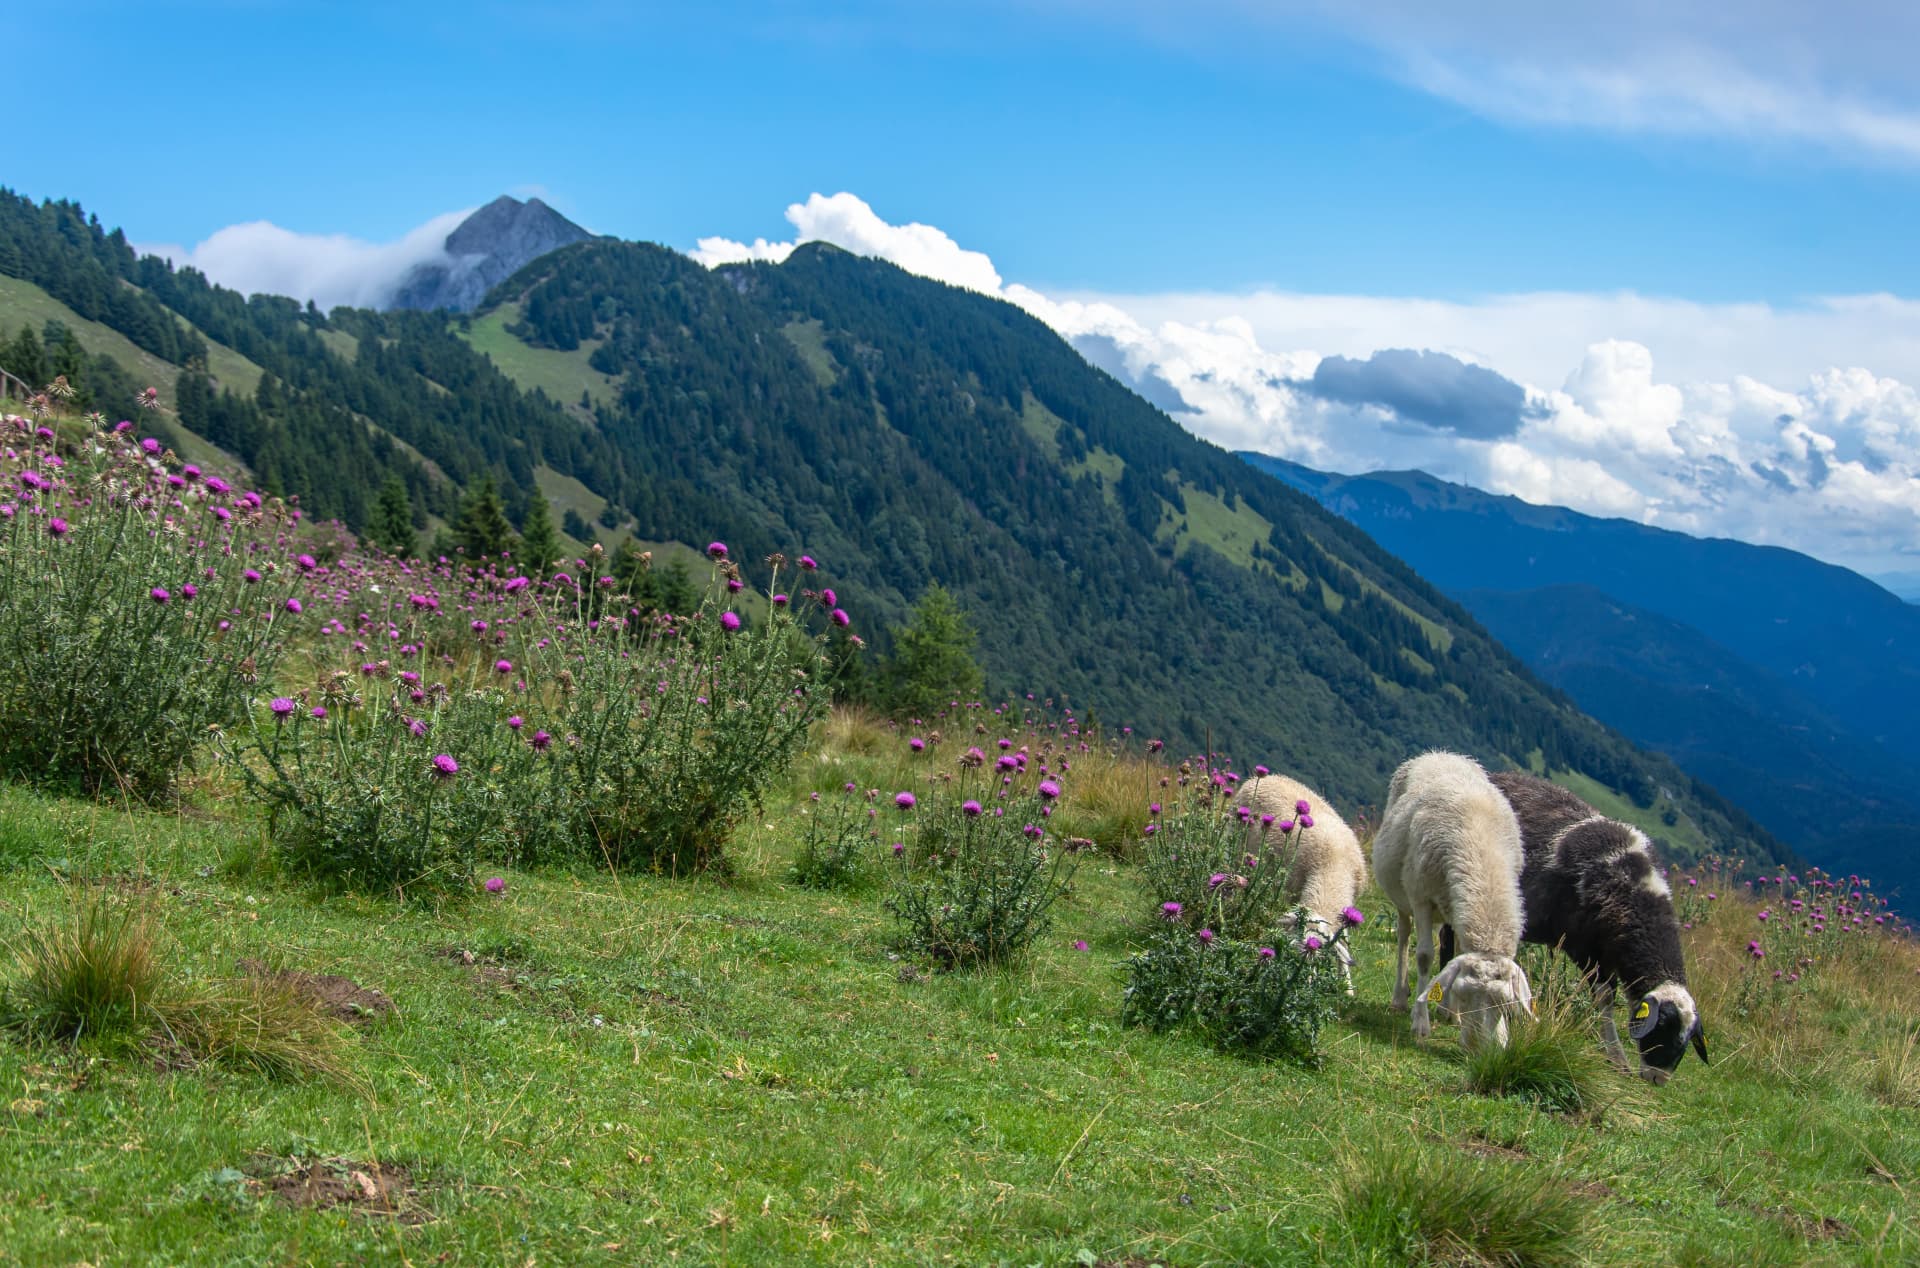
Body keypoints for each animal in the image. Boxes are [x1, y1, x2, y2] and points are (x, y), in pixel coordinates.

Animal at [1235, 773, 1369, 991]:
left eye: (1318, 957)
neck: (1331, 866)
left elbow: (1343, 942)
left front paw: (1347, 987)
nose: (1297, 985)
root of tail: (1265, 776)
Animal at [1371, 751, 1534, 1049]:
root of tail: (1440, 753)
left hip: (1448, 906)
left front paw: (1450, 1013)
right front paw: (1420, 1022)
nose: (1480, 1048)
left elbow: (1455, 957)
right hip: (1405, 897)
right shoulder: (1421, 899)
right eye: (1464, 995)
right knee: (1404, 936)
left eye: (1505, 1004)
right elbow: (1425, 956)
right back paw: (1400, 997)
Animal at [1478, 771, 1708, 1083]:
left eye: (1685, 1044)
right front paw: (1616, 1056)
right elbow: (1605, 1000)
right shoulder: (1587, 950)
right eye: (1661, 1030)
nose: (1657, 1080)